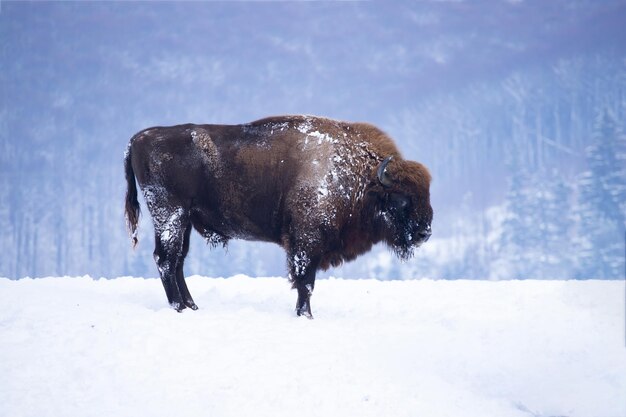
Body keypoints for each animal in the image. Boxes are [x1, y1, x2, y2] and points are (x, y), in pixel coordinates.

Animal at [124, 114, 432, 316]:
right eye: (401, 200)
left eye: (426, 194)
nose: (424, 233)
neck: (361, 180)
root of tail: (139, 138)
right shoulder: (306, 244)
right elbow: (305, 283)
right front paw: (305, 315)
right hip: (170, 214)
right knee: (165, 259)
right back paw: (178, 308)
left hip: (184, 219)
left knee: (177, 260)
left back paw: (192, 306)